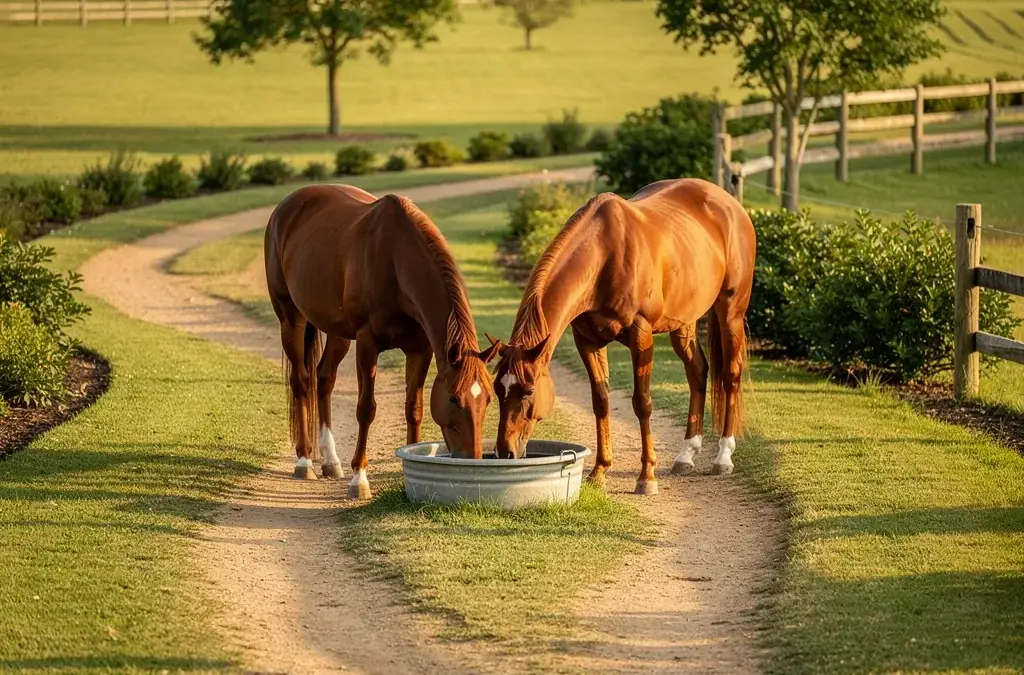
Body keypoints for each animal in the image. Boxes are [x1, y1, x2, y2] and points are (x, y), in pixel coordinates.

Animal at [264, 184, 501, 499]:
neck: (394, 260)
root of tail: (287, 205)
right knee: (302, 382)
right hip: (291, 320)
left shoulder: (420, 349)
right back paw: (305, 461)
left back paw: (330, 460)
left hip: (338, 332)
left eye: (488, 398)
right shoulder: (368, 345)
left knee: (324, 380)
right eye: (453, 398)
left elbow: (414, 409)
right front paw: (359, 479)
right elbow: (366, 409)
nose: (471, 459)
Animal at [491, 178, 756, 495]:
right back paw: (686, 455)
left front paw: (646, 476)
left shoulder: (641, 335)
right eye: (497, 389)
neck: (604, 256)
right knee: (697, 372)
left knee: (730, 374)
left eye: (529, 391)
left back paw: (723, 456)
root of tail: (729, 204)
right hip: (684, 323)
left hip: (731, 313)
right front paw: (599, 471)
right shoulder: (587, 341)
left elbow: (642, 403)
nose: (505, 452)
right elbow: (601, 400)